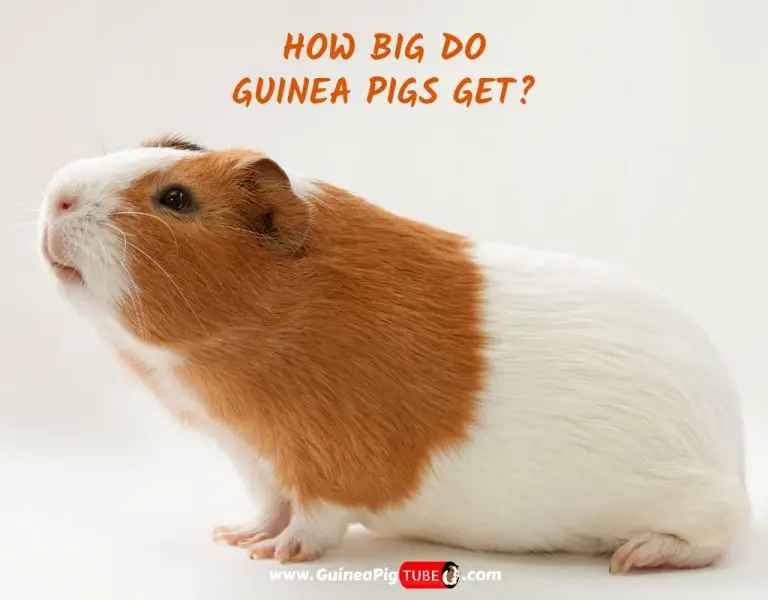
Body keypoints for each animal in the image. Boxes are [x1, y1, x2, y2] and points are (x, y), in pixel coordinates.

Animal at [38, 134, 750, 574]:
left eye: (176, 198)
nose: (56, 195)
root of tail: (732, 452)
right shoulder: (257, 460)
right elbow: (269, 506)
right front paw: (239, 539)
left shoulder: (328, 468)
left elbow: (314, 521)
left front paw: (278, 555)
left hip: (696, 505)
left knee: (719, 534)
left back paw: (636, 557)